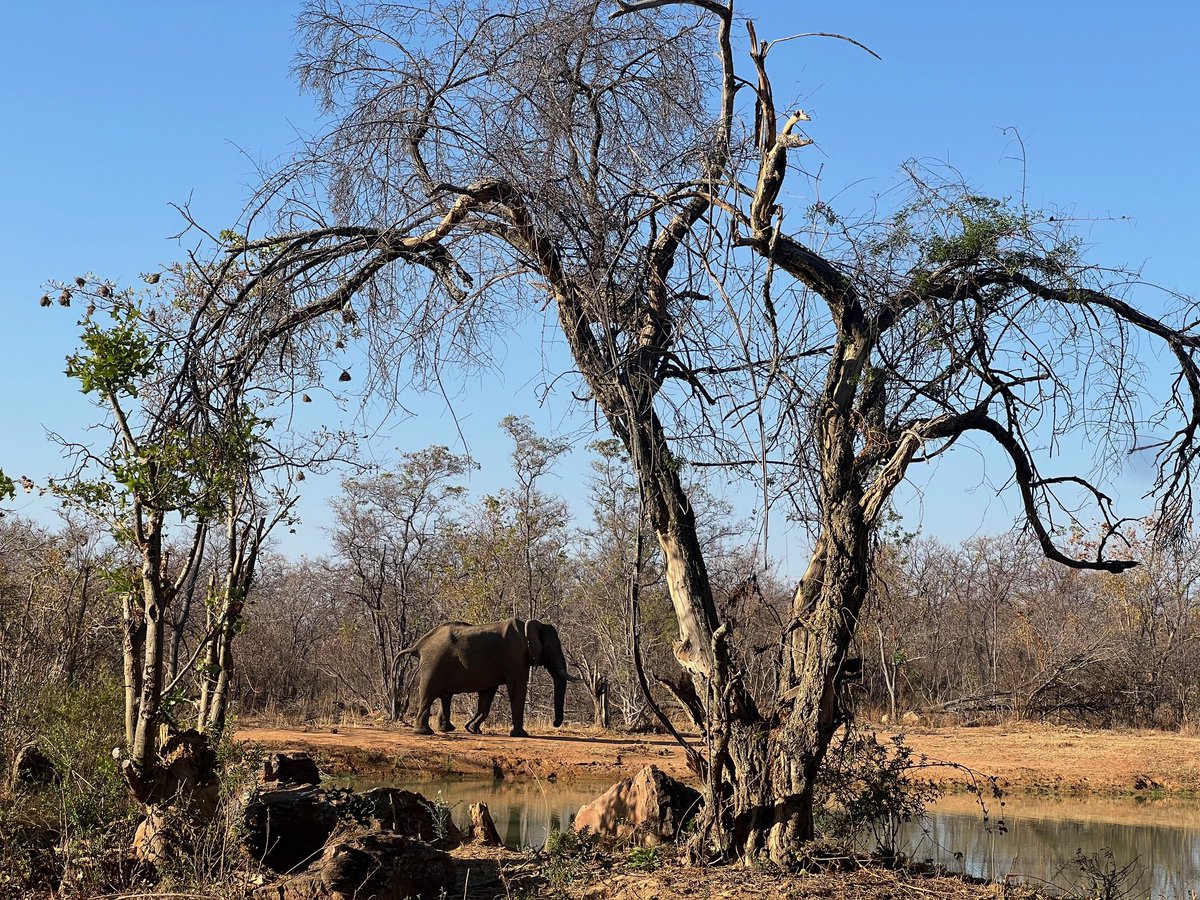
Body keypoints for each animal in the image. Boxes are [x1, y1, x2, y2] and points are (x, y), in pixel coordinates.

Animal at [398, 617, 578, 737]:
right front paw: (520, 735)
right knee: (428, 693)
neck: (529, 627)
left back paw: (447, 729)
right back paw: (424, 732)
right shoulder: (515, 654)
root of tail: (418, 645)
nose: (555, 723)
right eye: (553, 648)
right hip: (434, 663)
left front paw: (472, 729)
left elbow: (488, 693)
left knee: (445, 695)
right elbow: (517, 687)